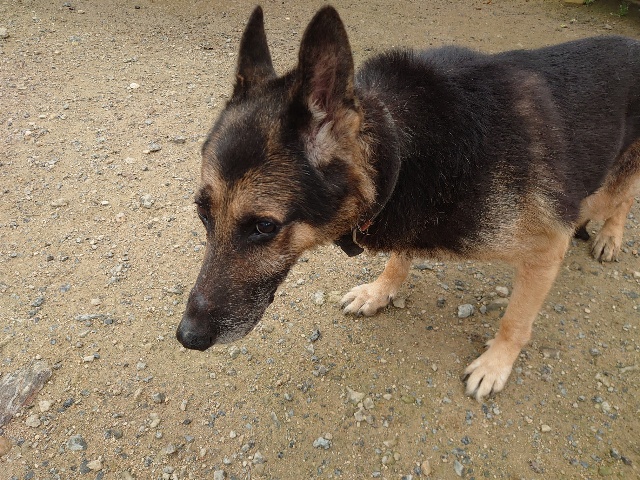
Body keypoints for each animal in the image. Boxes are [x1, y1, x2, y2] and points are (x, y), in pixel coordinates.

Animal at [176, 5, 640, 400]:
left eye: (264, 227)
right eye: (202, 212)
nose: (187, 337)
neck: (403, 148)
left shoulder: (545, 248)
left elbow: (515, 320)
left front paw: (495, 363)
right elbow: (400, 257)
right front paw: (381, 290)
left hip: (622, 169)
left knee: (620, 199)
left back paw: (609, 236)